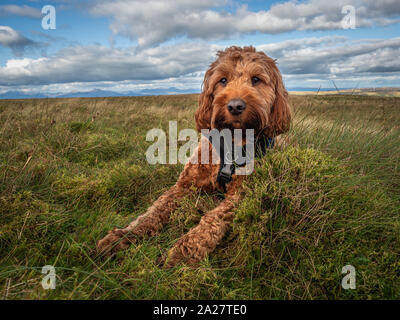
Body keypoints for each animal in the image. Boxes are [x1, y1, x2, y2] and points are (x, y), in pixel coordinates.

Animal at [97, 45, 290, 268]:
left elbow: (211, 220)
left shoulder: (240, 195)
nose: (235, 106)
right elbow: (153, 212)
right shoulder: (183, 186)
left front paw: (182, 253)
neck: (232, 142)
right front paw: (122, 236)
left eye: (256, 79)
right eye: (222, 80)